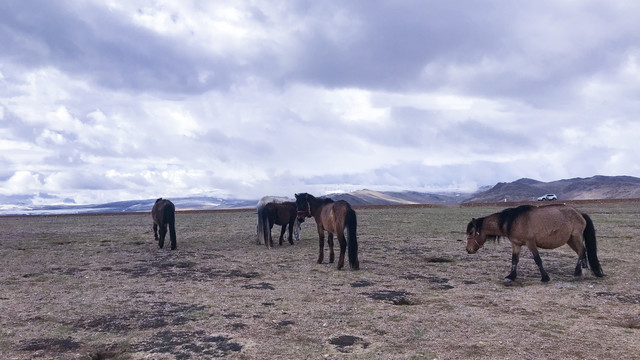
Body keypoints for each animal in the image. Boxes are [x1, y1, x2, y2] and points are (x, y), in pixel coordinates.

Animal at [468, 204, 604, 282]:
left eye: (471, 232)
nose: (468, 250)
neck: (512, 221)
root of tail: (580, 213)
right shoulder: (516, 244)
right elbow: (514, 260)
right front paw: (511, 276)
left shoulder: (530, 243)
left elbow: (537, 259)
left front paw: (545, 277)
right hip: (570, 239)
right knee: (582, 252)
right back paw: (584, 271)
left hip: (576, 237)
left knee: (581, 251)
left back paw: (577, 273)